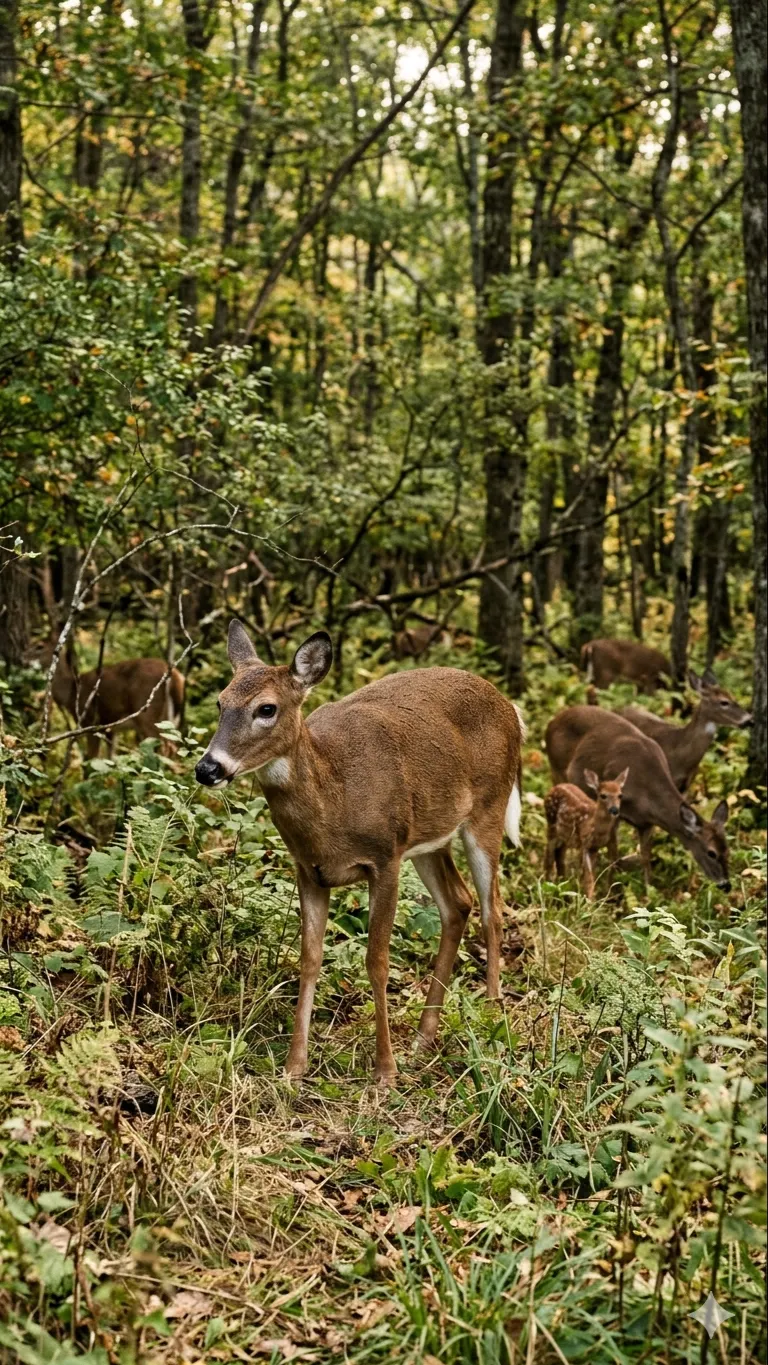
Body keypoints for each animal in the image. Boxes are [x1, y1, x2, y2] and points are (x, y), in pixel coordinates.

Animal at [34, 636, 185, 758]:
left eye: (40, 646)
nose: (26, 658)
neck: (71, 692)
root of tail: (175, 677)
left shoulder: (91, 722)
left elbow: (92, 758)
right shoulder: (110, 729)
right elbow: (110, 758)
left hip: (147, 714)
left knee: (164, 748)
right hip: (169, 719)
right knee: (173, 747)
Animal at [195, 621, 525, 1086]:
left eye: (266, 708)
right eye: (220, 702)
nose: (208, 768)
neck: (335, 800)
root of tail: (509, 706)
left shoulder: (384, 857)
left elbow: (377, 961)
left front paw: (384, 1072)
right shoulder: (308, 870)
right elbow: (310, 959)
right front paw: (294, 1068)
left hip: (487, 809)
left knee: (492, 909)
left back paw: (493, 1018)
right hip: (428, 835)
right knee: (458, 903)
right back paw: (424, 1037)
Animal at [544, 769, 628, 898]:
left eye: (620, 795)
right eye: (603, 795)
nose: (614, 810)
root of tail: (554, 787)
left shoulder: (599, 846)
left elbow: (601, 872)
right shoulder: (584, 843)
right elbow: (588, 878)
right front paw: (589, 901)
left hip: (565, 836)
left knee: (560, 856)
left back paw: (562, 886)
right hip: (551, 824)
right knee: (548, 856)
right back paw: (547, 887)